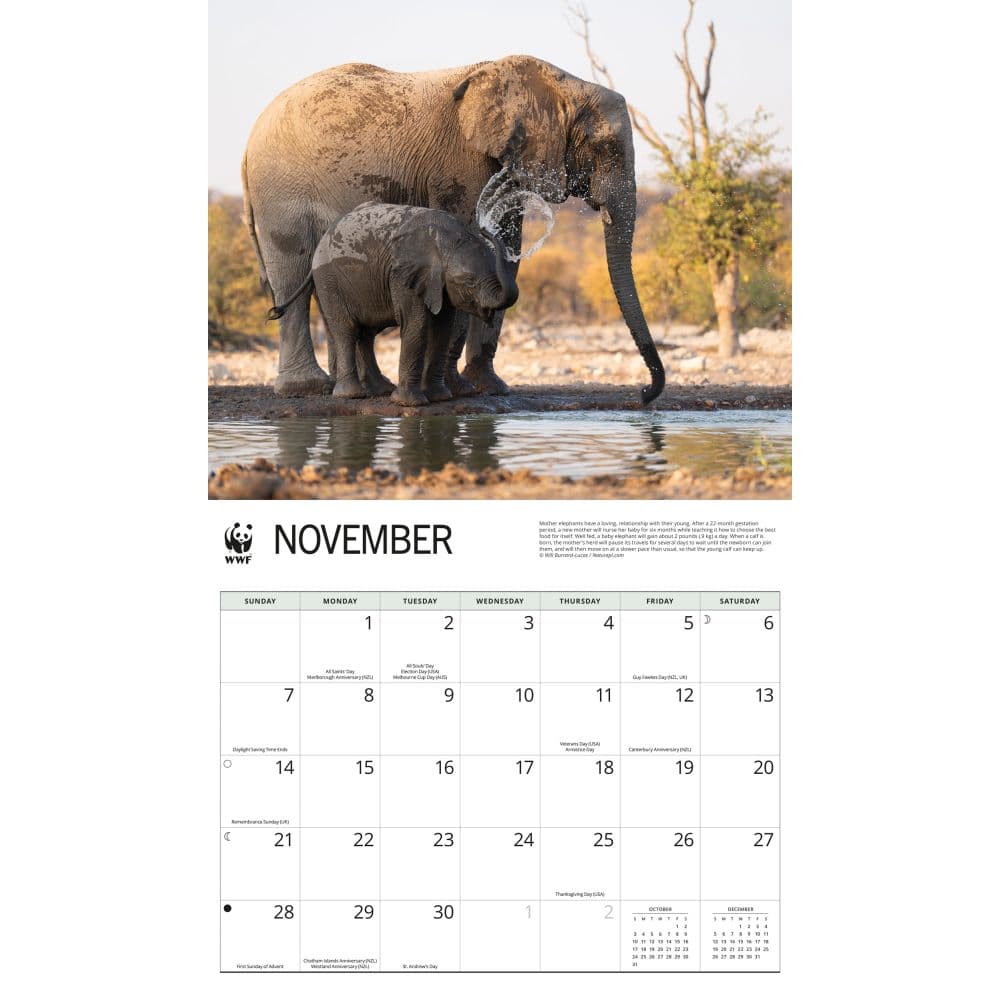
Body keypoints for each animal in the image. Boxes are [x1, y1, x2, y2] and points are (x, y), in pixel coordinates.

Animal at [267, 202, 519, 407]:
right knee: (346, 330)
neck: (444, 240)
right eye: (468, 281)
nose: (485, 229)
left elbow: (443, 328)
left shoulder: (439, 284)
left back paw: (380, 390)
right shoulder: (403, 275)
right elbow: (417, 324)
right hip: (329, 280)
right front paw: (410, 403)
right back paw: (352, 395)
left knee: (366, 334)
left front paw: (440, 398)